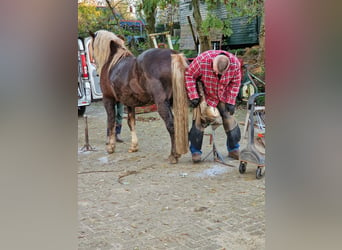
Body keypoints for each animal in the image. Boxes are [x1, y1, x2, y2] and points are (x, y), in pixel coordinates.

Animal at [88, 30, 190, 163]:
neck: (112, 62)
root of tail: (174, 55)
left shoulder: (108, 99)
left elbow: (111, 121)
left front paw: (110, 147)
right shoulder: (129, 103)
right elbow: (131, 122)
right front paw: (134, 146)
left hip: (162, 103)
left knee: (171, 125)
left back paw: (174, 155)